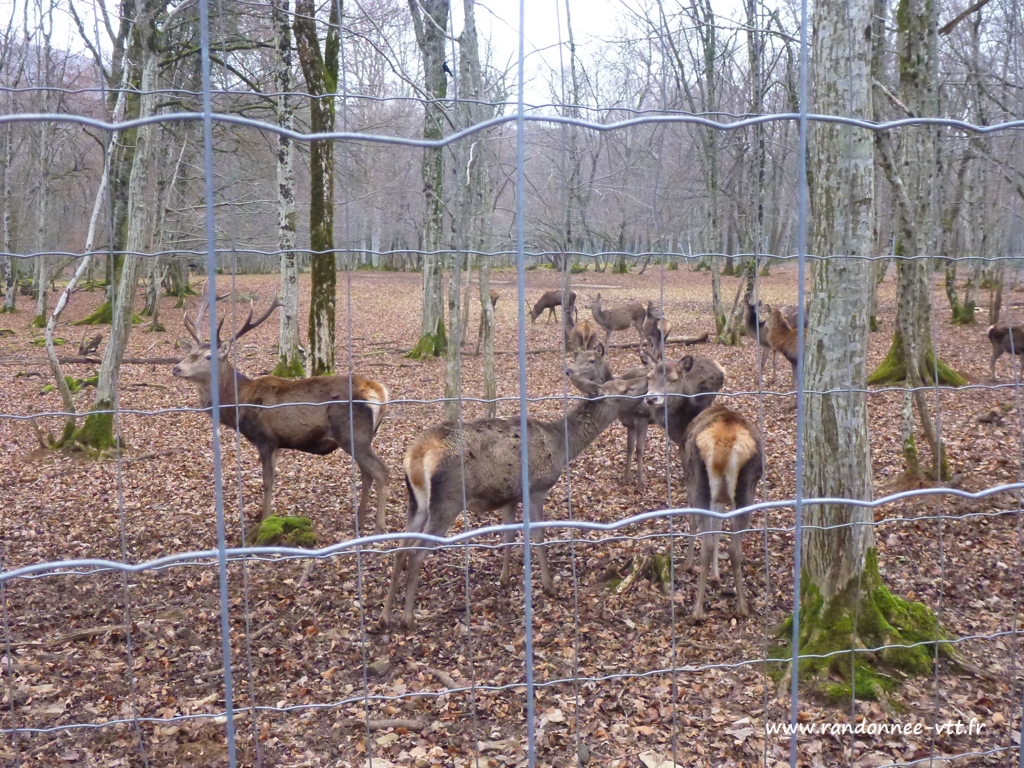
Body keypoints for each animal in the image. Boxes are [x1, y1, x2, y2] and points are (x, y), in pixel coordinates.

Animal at [171, 286, 391, 532]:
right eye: (191, 353)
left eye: (208, 356)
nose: (176, 368)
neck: (241, 404)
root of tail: (380, 392)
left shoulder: (266, 438)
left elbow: (267, 482)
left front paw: (264, 521)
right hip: (362, 438)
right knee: (366, 474)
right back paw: (359, 521)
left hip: (353, 434)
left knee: (381, 471)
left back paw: (379, 527)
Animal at [380, 374, 650, 629]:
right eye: (624, 388)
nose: (646, 380)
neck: (562, 447)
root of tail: (416, 456)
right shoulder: (535, 489)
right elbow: (538, 536)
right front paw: (550, 586)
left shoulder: (510, 496)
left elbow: (508, 534)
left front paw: (504, 579)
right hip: (448, 501)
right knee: (416, 553)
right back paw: (407, 618)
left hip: (416, 502)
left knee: (400, 549)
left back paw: (387, 612)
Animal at [681, 405, 762, 620]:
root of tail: (724, 442)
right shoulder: (722, 499)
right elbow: (717, 529)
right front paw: (716, 577)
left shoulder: (690, 483)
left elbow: (695, 523)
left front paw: (688, 565)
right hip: (746, 491)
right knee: (735, 548)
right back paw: (742, 606)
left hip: (699, 483)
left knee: (707, 545)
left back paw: (697, 610)